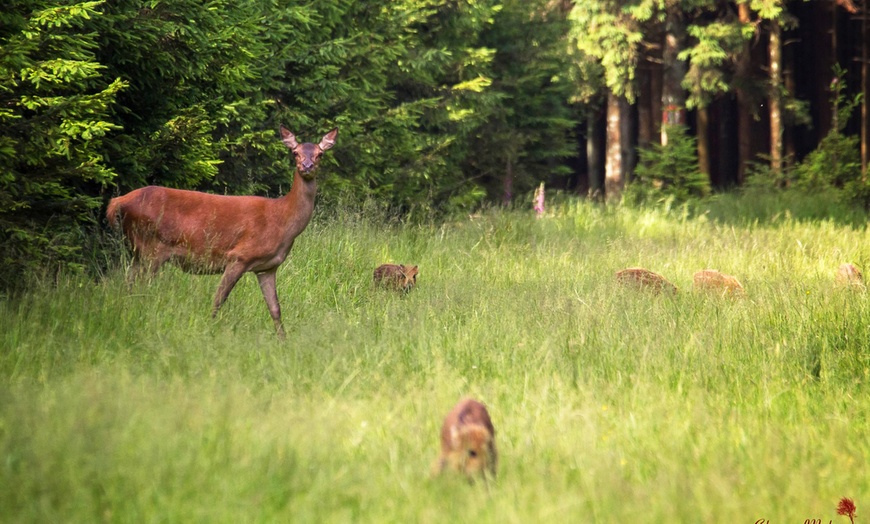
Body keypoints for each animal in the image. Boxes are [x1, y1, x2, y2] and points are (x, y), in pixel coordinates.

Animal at [107, 126, 338, 336]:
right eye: (295, 152)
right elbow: (219, 299)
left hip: (139, 252)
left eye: (320, 154)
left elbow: (275, 309)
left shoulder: (267, 267)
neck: (282, 220)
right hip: (151, 249)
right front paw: (209, 329)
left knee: (128, 285)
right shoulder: (239, 256)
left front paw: (283, 340)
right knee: (139, 288)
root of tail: (117, 202)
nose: (307, 166)